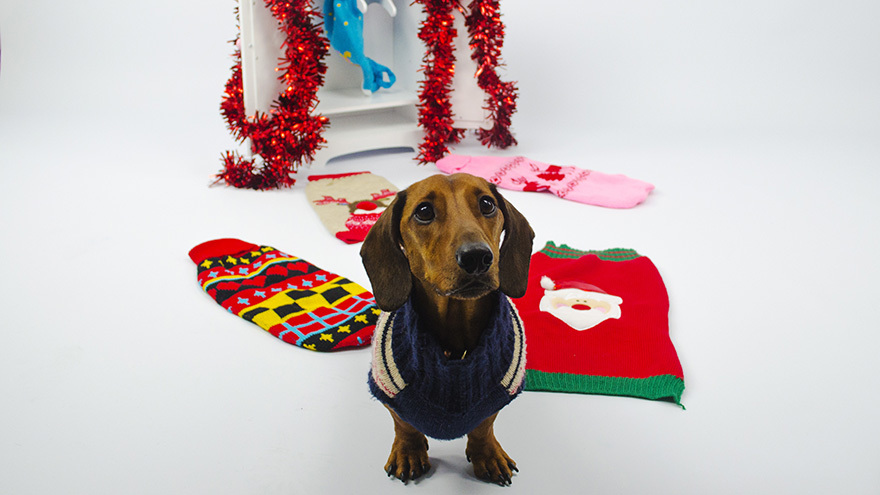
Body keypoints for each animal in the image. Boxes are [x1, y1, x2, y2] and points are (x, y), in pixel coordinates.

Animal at [360, 173, 536, 484]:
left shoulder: (499, 391)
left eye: (487, 204)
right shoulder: (390, 389)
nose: (477, 257)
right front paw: (409, 451)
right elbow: (404, 425)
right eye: (424, 211)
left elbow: (483, 426)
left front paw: (487, 454)